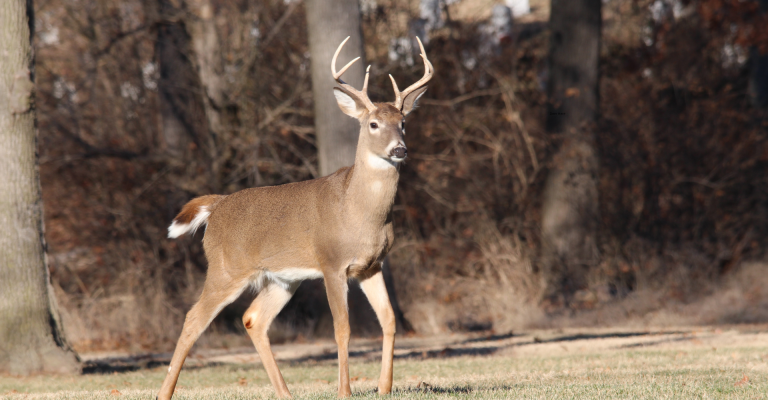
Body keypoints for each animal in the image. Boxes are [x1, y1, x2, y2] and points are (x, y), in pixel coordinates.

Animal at [156, 36, 433, 399]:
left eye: (403, 123)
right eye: (373, 124)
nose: (399, 149)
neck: (361, 214)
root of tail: (216, 206)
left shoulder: (371, 265)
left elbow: (388, 319)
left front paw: (384, 388)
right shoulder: (332, 263)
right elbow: (342, 328)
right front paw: (344, 390)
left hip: (282, 278)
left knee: (253, 318)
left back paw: (285, 392)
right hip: (225, 268)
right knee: (193, 319)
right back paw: (164, 392)